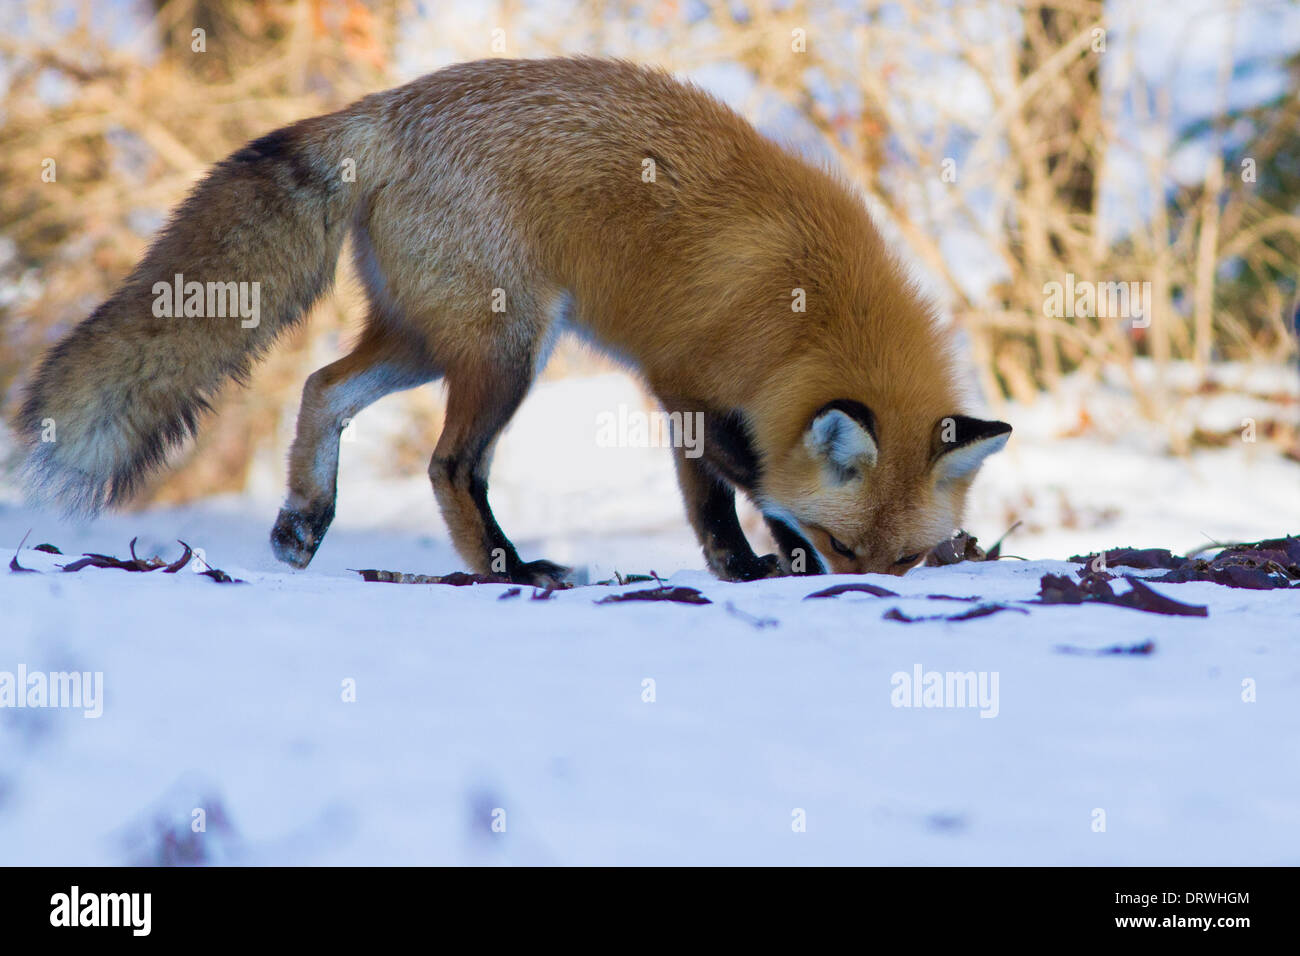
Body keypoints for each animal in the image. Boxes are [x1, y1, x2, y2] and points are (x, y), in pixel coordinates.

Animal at [16, 56, 1010, 585]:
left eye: (904, 561)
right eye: (845, 545)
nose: (860, 597)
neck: (812, 307)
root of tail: (384, 111)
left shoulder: (705, 392)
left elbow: (733, 488)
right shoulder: (685, 384)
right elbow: (735, 490)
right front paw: (754, 565)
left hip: (428, 341)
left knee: (321, 387)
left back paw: (304, 519)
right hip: (506, 352)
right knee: (449, 466)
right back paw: (514, 568)